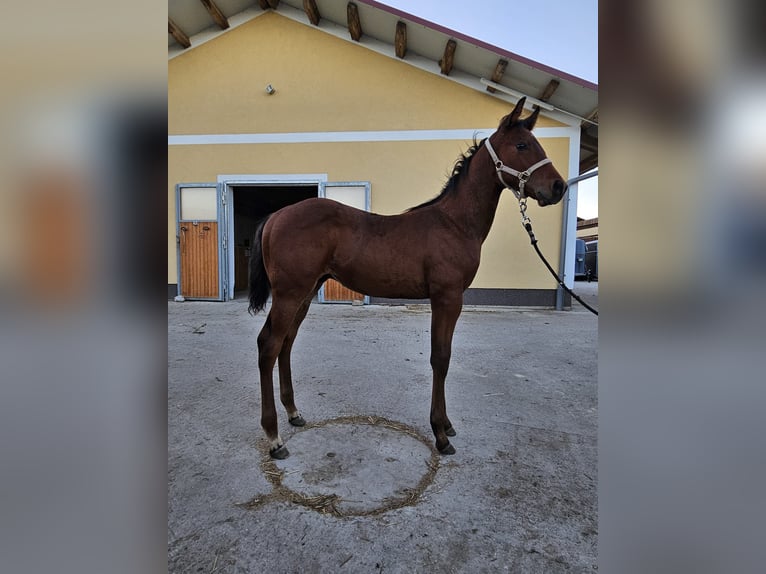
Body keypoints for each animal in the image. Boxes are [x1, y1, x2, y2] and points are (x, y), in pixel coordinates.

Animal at [248, 97, 567, 459]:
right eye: (522, 145)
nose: (558, 187)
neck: (454, 224)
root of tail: (276, 215)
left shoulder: (447, 299)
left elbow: (443, 357)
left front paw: (447, 425)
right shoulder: (447, 298)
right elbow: (440, 358)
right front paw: (440, 434)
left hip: (305, 291)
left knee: (286, 344)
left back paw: (293, 413)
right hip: (289, 293)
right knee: (269, 345)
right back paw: (274, 438)